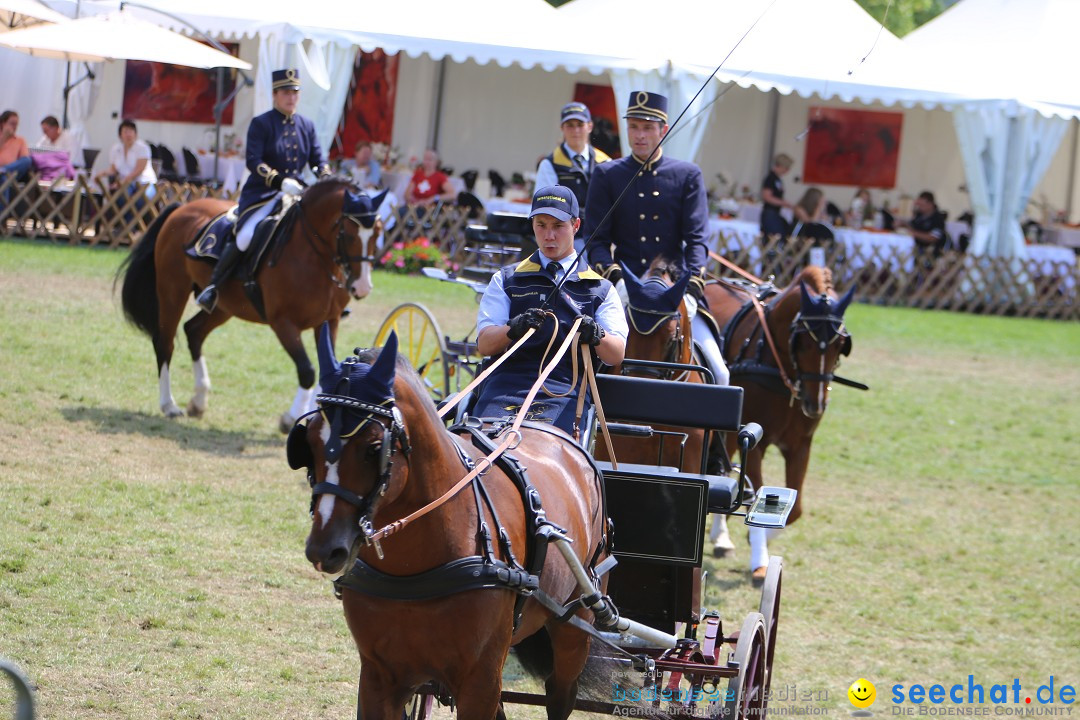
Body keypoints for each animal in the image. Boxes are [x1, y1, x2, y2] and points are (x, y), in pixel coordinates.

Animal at [117, 179, 386, 431]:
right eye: (348, 233)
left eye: (377, 234)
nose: (362, 287)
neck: (314, 257)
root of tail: (182, 207)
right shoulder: (283, 323)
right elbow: (307, 370)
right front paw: (290, 419)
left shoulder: (328, 321)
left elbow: (326, 369)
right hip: (173, 291)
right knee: (165, 342)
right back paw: (169, 405)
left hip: (224, 307)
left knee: (193, 332)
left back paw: (199, 401)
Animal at [289, 325, 609, 720]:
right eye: (310, 443)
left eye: (373, 448)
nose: (324, 548)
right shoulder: (379, 678)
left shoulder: (479, 681)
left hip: (575, 626)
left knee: (561, 691)